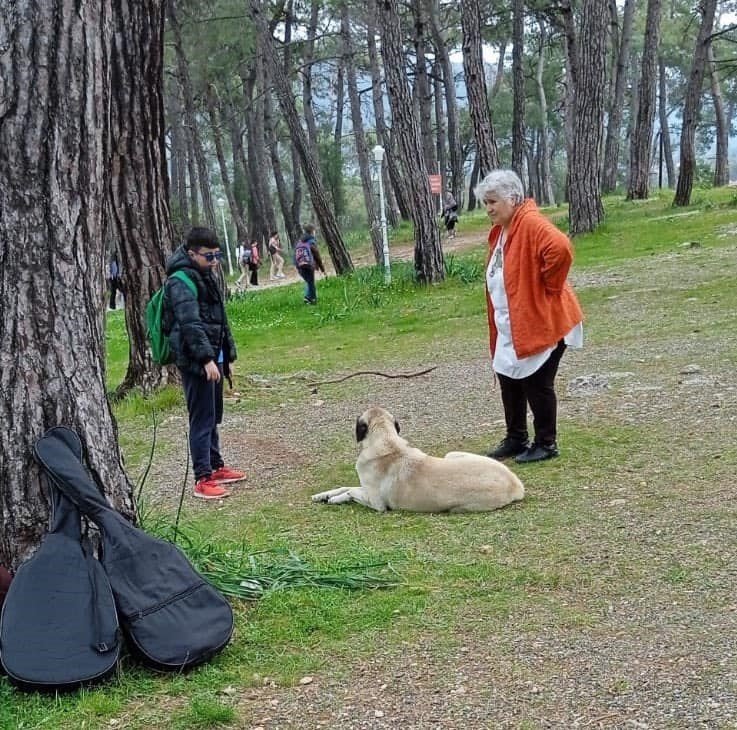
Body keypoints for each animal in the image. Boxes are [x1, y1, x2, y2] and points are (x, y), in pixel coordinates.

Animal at [310, 404, 524, 512]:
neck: (386, 440)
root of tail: (517, 485)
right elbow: (344, 486)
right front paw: (323, 495)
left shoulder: (376, 503)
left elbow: (351, 491)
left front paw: (335, 499)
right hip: (451, 454)